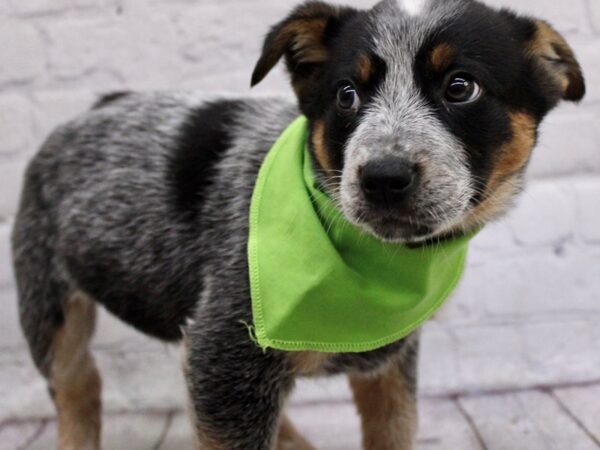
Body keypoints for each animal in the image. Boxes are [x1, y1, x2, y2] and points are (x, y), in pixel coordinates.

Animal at [11, 0, 584, 448]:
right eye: (347, 94)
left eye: (461, 87)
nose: (382, 177)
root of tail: (91, 109)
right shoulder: (225, 355)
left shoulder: (388, 364)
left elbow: (395, 428)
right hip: (48, 301)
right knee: (78, 389)